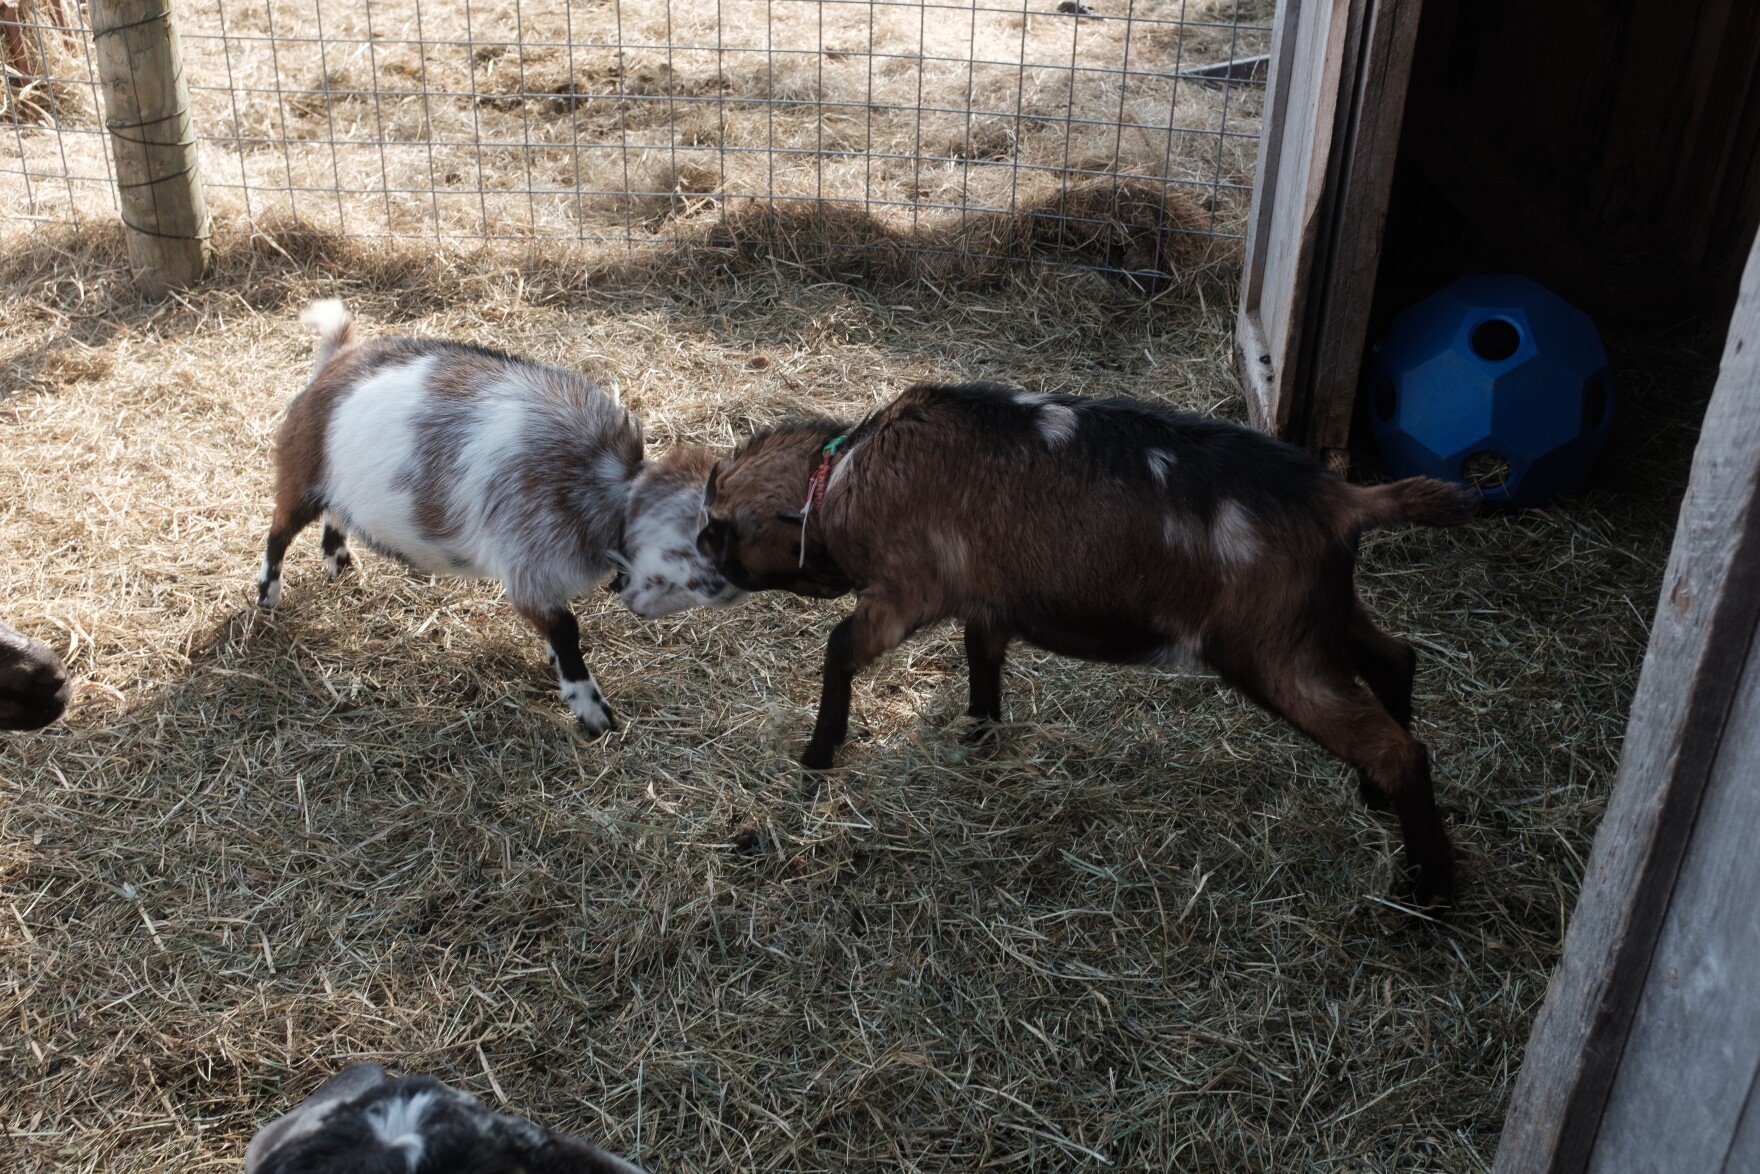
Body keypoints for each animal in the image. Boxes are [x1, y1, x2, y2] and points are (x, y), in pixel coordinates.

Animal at [258, 300, 742, 733]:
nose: (735, 587)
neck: (609, 487)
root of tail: (337, 358)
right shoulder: (528, 567)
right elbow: (566, 629)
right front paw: (592, 712)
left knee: (333, 515)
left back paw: (338, 560)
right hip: (300, 473)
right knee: (278, 533)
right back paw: (268, 595)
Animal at [698, 382, 1479, 906]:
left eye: (721, 528)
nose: (703, 555)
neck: (842, 474)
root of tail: (1343, 500)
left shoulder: (904, 592)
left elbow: (838, 649)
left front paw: (817, 755)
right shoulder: (990, 599)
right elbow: (983, 658)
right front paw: (981, 734)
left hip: (1276, 652)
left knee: (1399, 749)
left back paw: (1430, 892)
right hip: (1321, 618)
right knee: (1396, 658)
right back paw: (1375, 803)